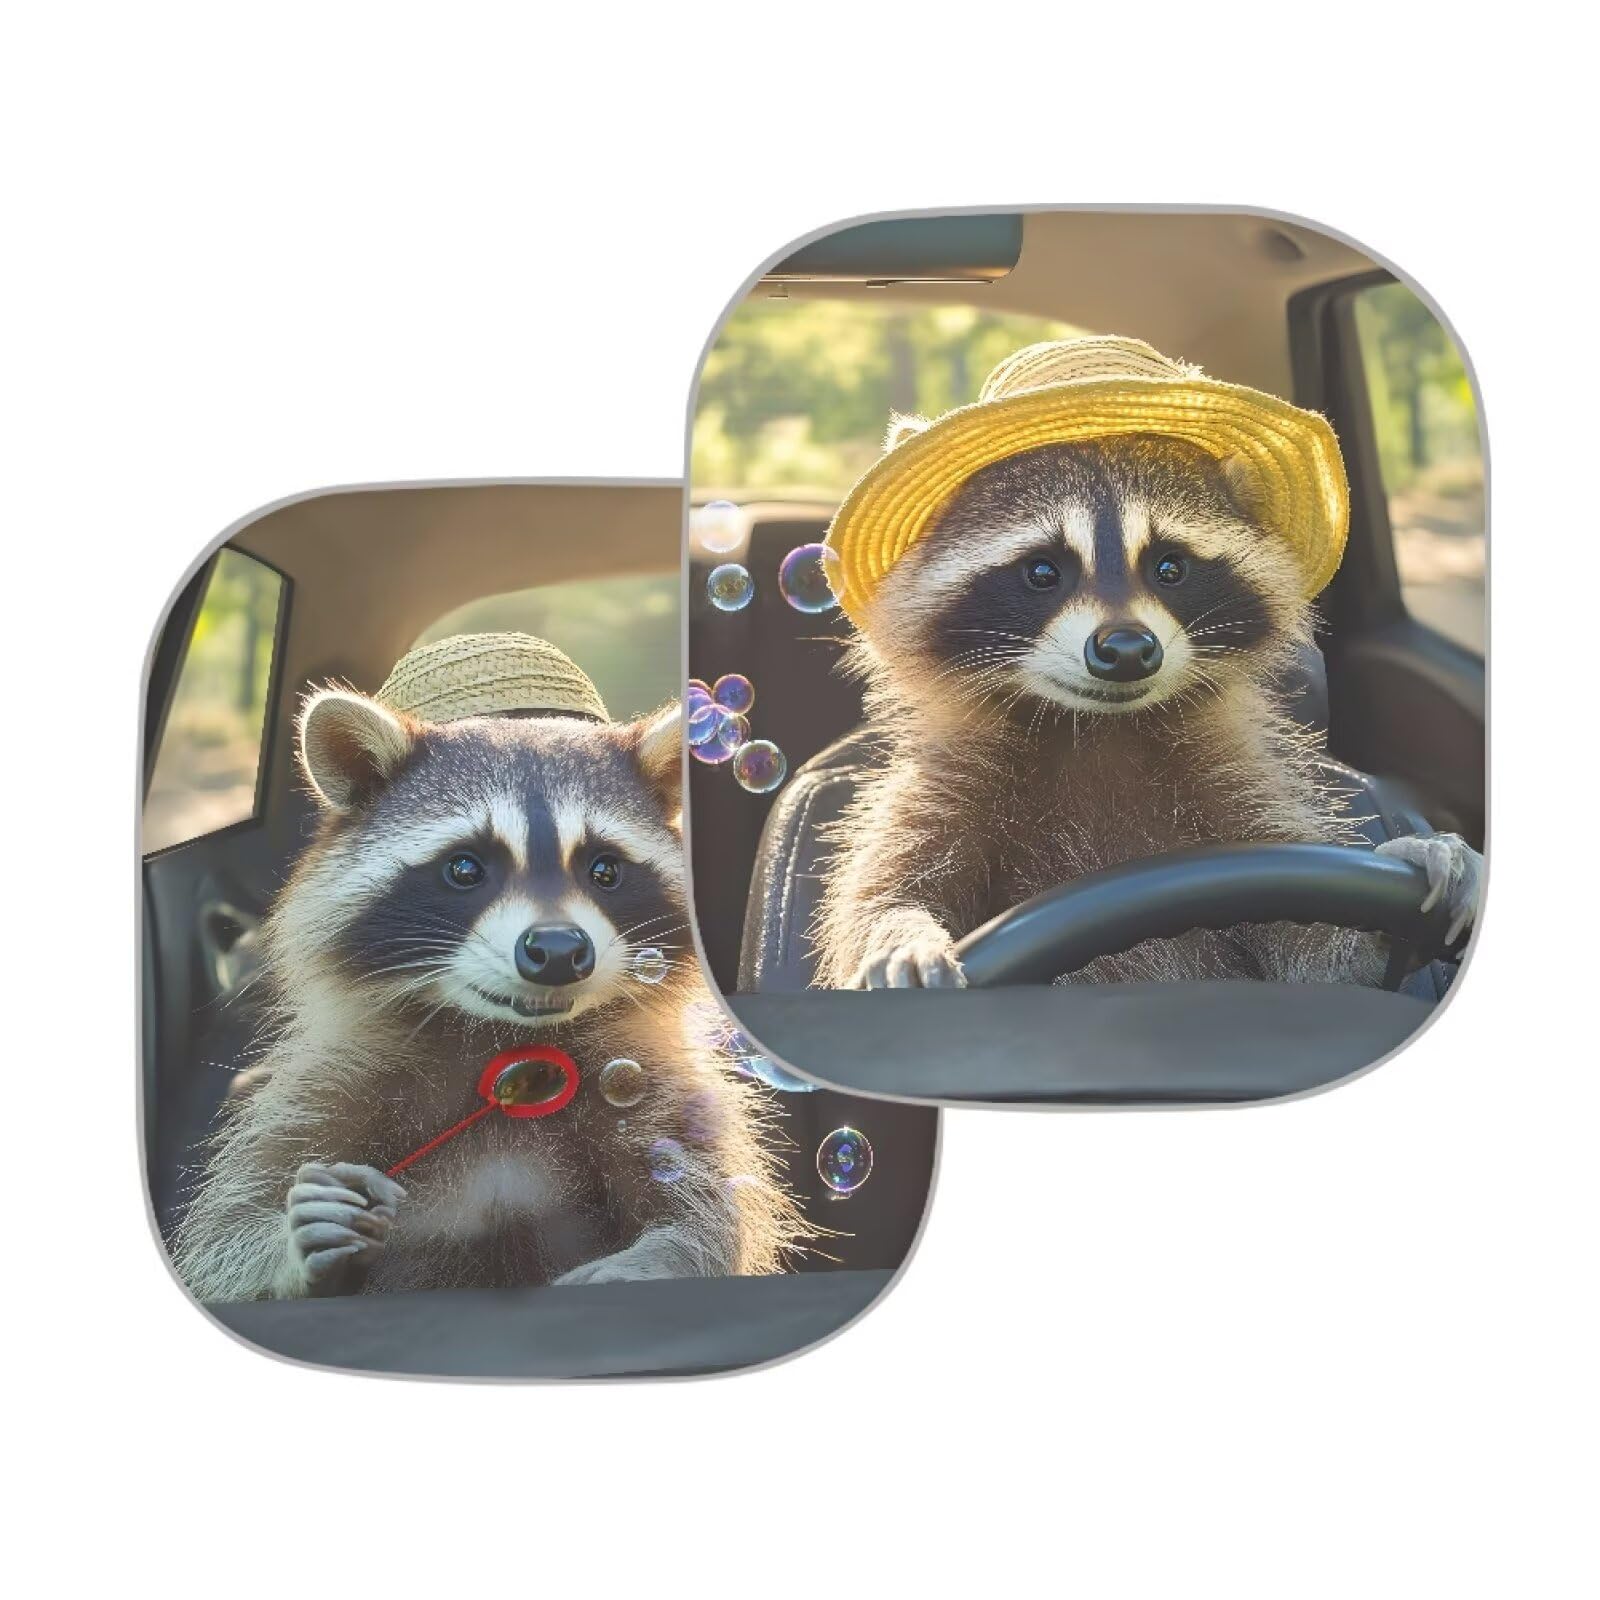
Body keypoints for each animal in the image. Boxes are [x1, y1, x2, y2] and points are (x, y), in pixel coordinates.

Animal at [172, 689, 806, 1300]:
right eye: (464, 868)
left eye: (605, 870)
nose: (557, 950)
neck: (506, 1044)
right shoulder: (330, 1083)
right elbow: (228, 1234)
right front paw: (290, 1246)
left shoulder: (654, 1080)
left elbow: (710, 1211)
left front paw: (653, 1261)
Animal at [815, 434, 1481, 990]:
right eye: (1042, 571)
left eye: (1170, 567)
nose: (1128, 648)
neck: (1096, 729)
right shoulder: (949, 781)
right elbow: (879, 891)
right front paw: (901, 935)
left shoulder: (1232, 784)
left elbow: (1323, 956)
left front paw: (1412, 874)